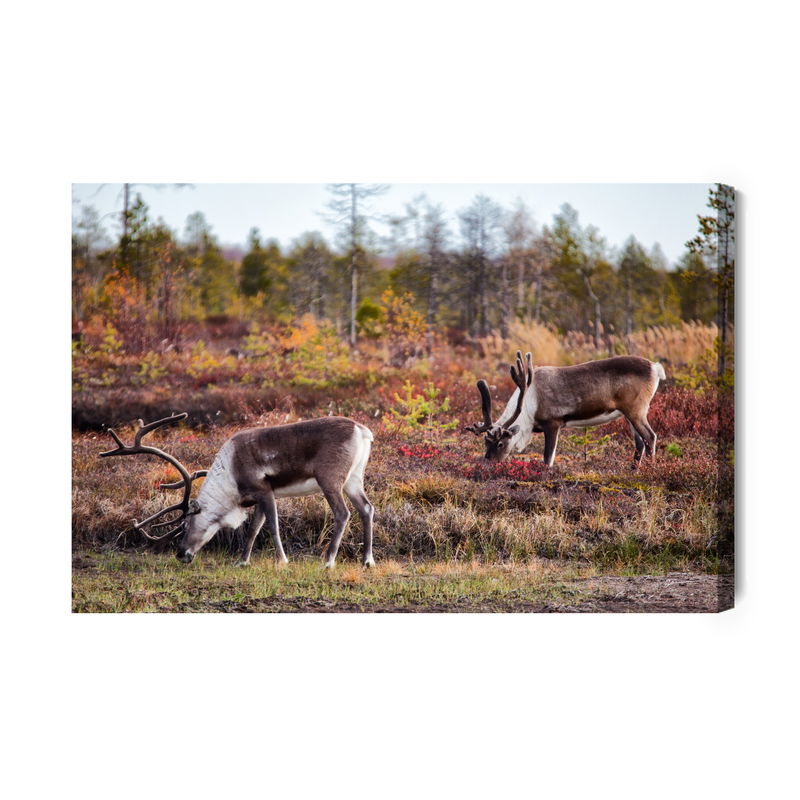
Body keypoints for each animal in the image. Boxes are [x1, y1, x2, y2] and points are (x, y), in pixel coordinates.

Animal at [100, 413, 375, 568]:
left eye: (186, 524)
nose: (181, 554)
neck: (230, 481)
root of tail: (363, 431)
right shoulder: (259, 498)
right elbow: (253, 529)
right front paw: (242, 561)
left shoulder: (264, 490)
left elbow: (272, 526)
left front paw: (282, 561)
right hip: (353, 479)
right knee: (367, 508)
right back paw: (367, 561)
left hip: (329, 479)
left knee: (342, 513)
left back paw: (328, 561)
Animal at [465, 351, 666, 468]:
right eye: (485, 442)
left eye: (500, 443)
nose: (486, 463)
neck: (528, 406)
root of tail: (655, 367)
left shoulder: (553, 422)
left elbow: (548, 458)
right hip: (628, 413)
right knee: (640, 442)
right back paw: (633, 471)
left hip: (637, 409)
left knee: (650, 436)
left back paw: (651, 471)